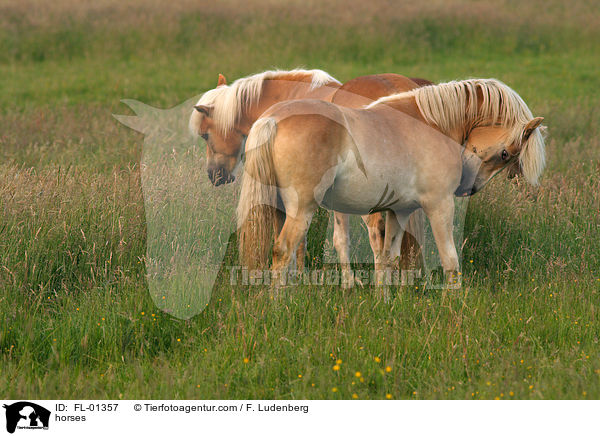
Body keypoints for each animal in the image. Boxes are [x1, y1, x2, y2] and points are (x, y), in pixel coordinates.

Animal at [237, 78, 548, 290]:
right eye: (506, 154)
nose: (468, 187)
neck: (431, 122)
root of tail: (273, 118)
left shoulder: (399, 211)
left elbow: (389, 257)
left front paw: (384, 299)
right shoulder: (439, 205)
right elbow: (450, 260)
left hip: (279, 208)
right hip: (302, 208)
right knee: (283, 250)